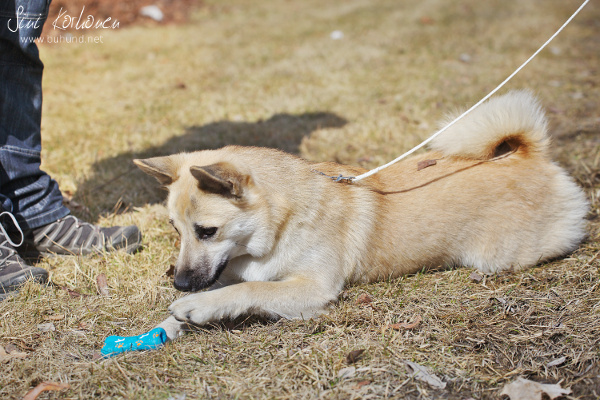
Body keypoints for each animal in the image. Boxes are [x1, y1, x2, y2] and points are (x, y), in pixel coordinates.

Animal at [134, 89, 588, 340]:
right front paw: (165, 325)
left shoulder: (311, 288)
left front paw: (199, 307)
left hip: (501, 256)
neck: (280, 226)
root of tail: (526, 155)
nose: (179, 283)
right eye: (176, 230)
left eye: (207, 231)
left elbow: (249, 290)